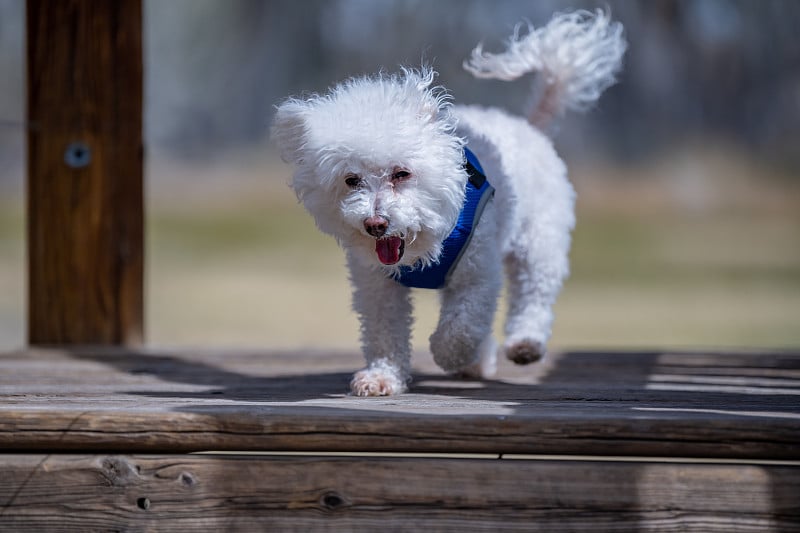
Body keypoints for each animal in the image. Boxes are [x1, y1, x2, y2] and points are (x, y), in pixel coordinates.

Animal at [272, 9, 628, 394]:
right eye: (351, 180)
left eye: (401, 173)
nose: (375, 224)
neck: (423, 247)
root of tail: (528, 126)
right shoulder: (377, 285)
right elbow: (384, 332)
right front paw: (382, 377)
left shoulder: (478, 273)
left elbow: (460, 327)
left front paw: (449, 355)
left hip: (539, 241)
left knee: (533, 293)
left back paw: (523, 344)